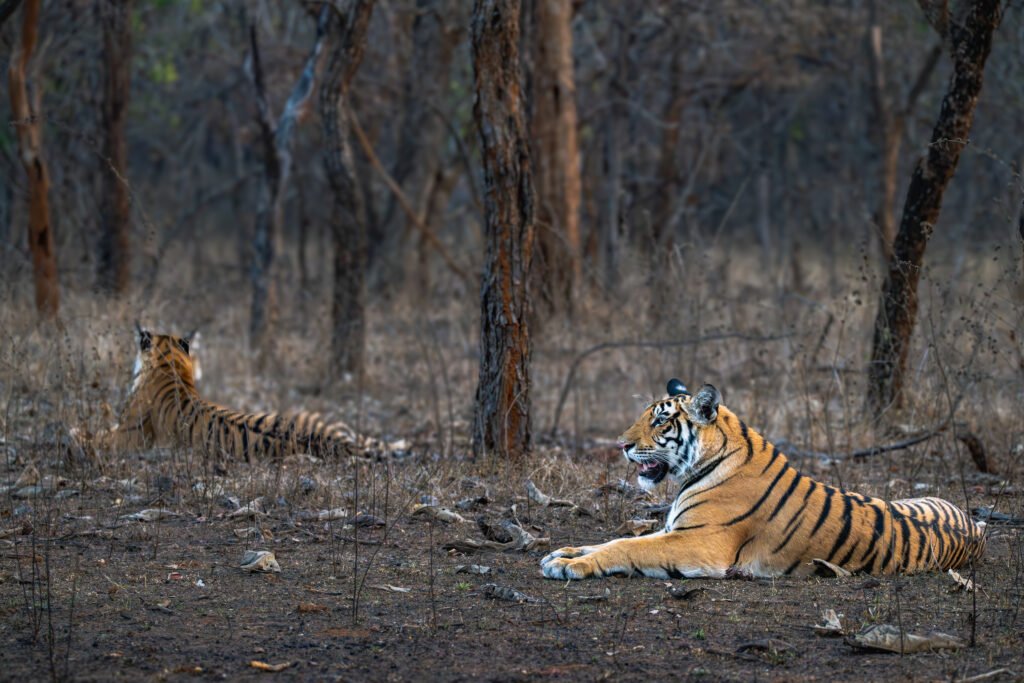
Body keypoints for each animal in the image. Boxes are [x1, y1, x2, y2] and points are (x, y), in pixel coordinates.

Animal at [541, 379, 986, 580]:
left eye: (661, 420)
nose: (621, 445)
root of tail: (977, 526)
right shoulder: (672, 530)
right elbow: (615, 539)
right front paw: (562, 552)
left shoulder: (698, 541)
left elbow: (626, 548)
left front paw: (569, 566)